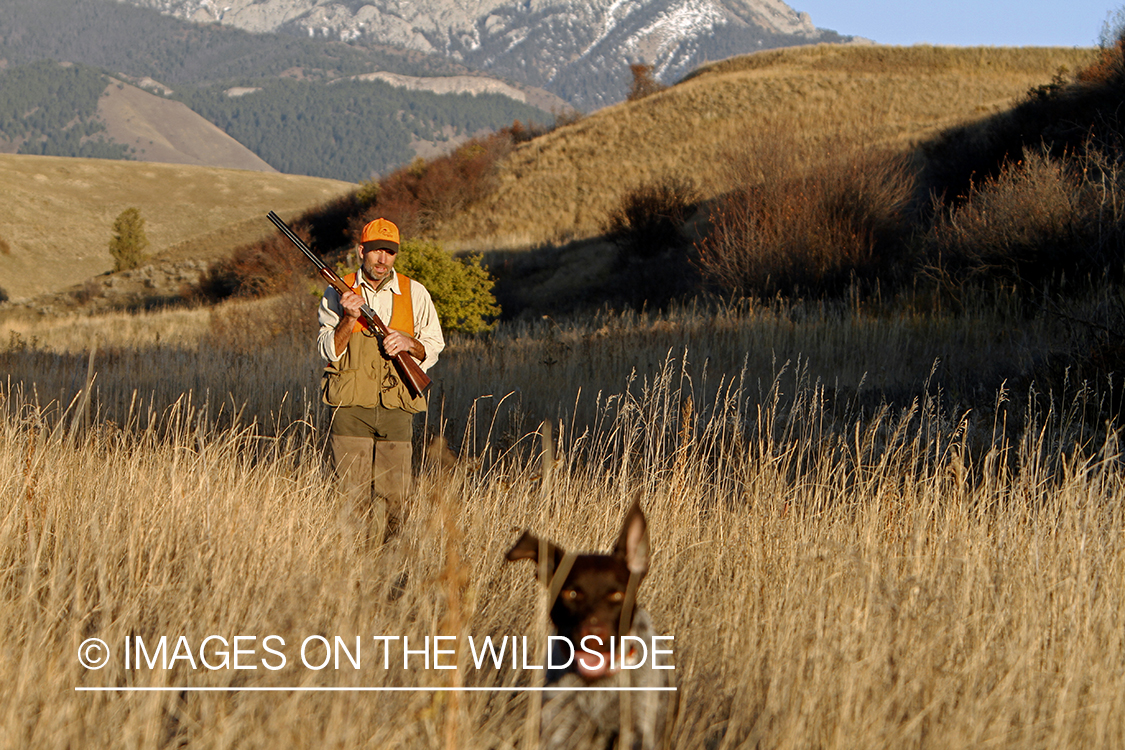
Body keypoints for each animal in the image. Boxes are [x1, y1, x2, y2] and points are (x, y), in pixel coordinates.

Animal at [506, 494, 670, 746]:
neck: (598, 684)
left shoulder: (640, 732)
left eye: (617, 595)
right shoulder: (559, 729)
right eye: (571, 593)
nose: (593, 637)